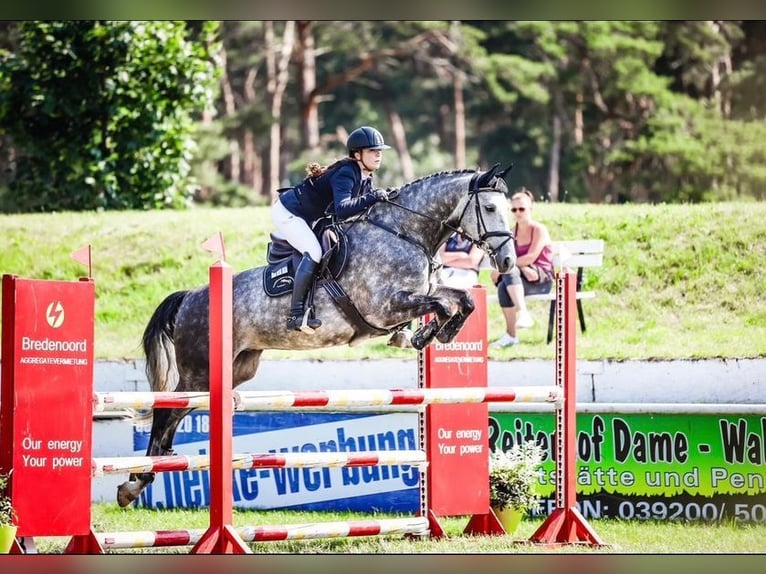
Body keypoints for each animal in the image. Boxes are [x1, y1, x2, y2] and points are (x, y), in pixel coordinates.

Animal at [118, 164, 516, 506]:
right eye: (490, 207)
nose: (508, 262)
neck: (405, 233)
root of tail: (190, 297)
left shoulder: (421, 293)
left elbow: (462, 299)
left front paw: (434, 334)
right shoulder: (386, 307)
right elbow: (441, 305)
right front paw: (421, 335)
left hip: (234, 369)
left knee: (177, 412)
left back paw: (148, 474)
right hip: (199, 370)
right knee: (166, 411)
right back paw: (135, 482)